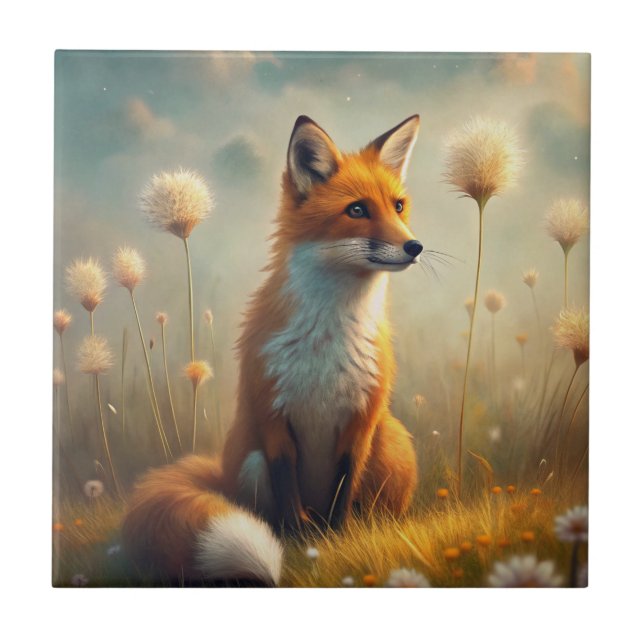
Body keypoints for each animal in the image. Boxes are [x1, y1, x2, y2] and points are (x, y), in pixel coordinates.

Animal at [122, 114, 423, 586]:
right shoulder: (272, 413)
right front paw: (301, 542)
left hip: (389, 442)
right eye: (357, 210)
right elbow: (286, 487)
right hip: (250, 461)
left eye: (397, 206)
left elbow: (344, 486)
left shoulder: (361, 419)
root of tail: (219, 473)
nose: (415, 247)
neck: (326, 341)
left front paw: (338, 538)